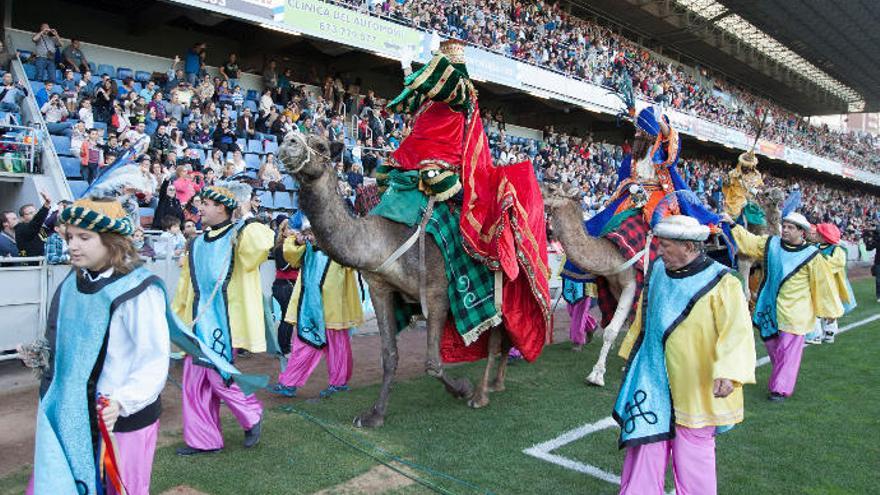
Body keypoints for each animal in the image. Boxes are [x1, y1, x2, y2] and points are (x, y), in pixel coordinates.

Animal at [276, 134, 508, 428]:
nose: (288, 141)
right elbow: (388, 356)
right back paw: (497, 383)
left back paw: (481, 394)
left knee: (498, 334)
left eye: (320, 146)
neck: (383, 241)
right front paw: (374, 415)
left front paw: (463, 388)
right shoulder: (381, 288)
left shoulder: (437, 293)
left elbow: (433, 362)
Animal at [540, 184, 636, 390]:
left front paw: (596, 375)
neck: (613, 254)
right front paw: (626, 365)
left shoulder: (631, 283)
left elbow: (611, 331)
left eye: (552, 188)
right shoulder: (614, 284)